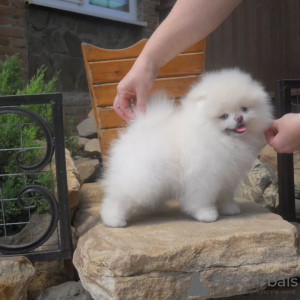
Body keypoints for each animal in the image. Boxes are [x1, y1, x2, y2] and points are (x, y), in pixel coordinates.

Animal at [99, 68, 274, 227]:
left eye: (244, 108)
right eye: (224, 116)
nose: (239, 118)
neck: (218, 137)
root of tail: (137, 130)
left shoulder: (228, 175)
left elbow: (226, 194)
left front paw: (229, 208)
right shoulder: (204, 176)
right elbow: (201, 198)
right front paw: (206, 214)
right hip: (142, 178)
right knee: (118, 197)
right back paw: (114, 220)